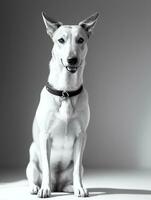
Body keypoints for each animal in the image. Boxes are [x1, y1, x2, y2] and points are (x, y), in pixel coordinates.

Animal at [26, 11, 99, 198]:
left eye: (80, 40)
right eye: (61, 40)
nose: (72, 59)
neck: (66, 91)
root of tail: (57, 184)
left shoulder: (81, 137)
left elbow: (76, 170)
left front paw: (80, 188)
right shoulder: (45, 137)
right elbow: (46, 167)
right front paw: (44, 189)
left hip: (77, 168)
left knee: (72, 176)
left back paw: (72, 187)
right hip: (32, 156)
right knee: (34, 175)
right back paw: (36, 187)